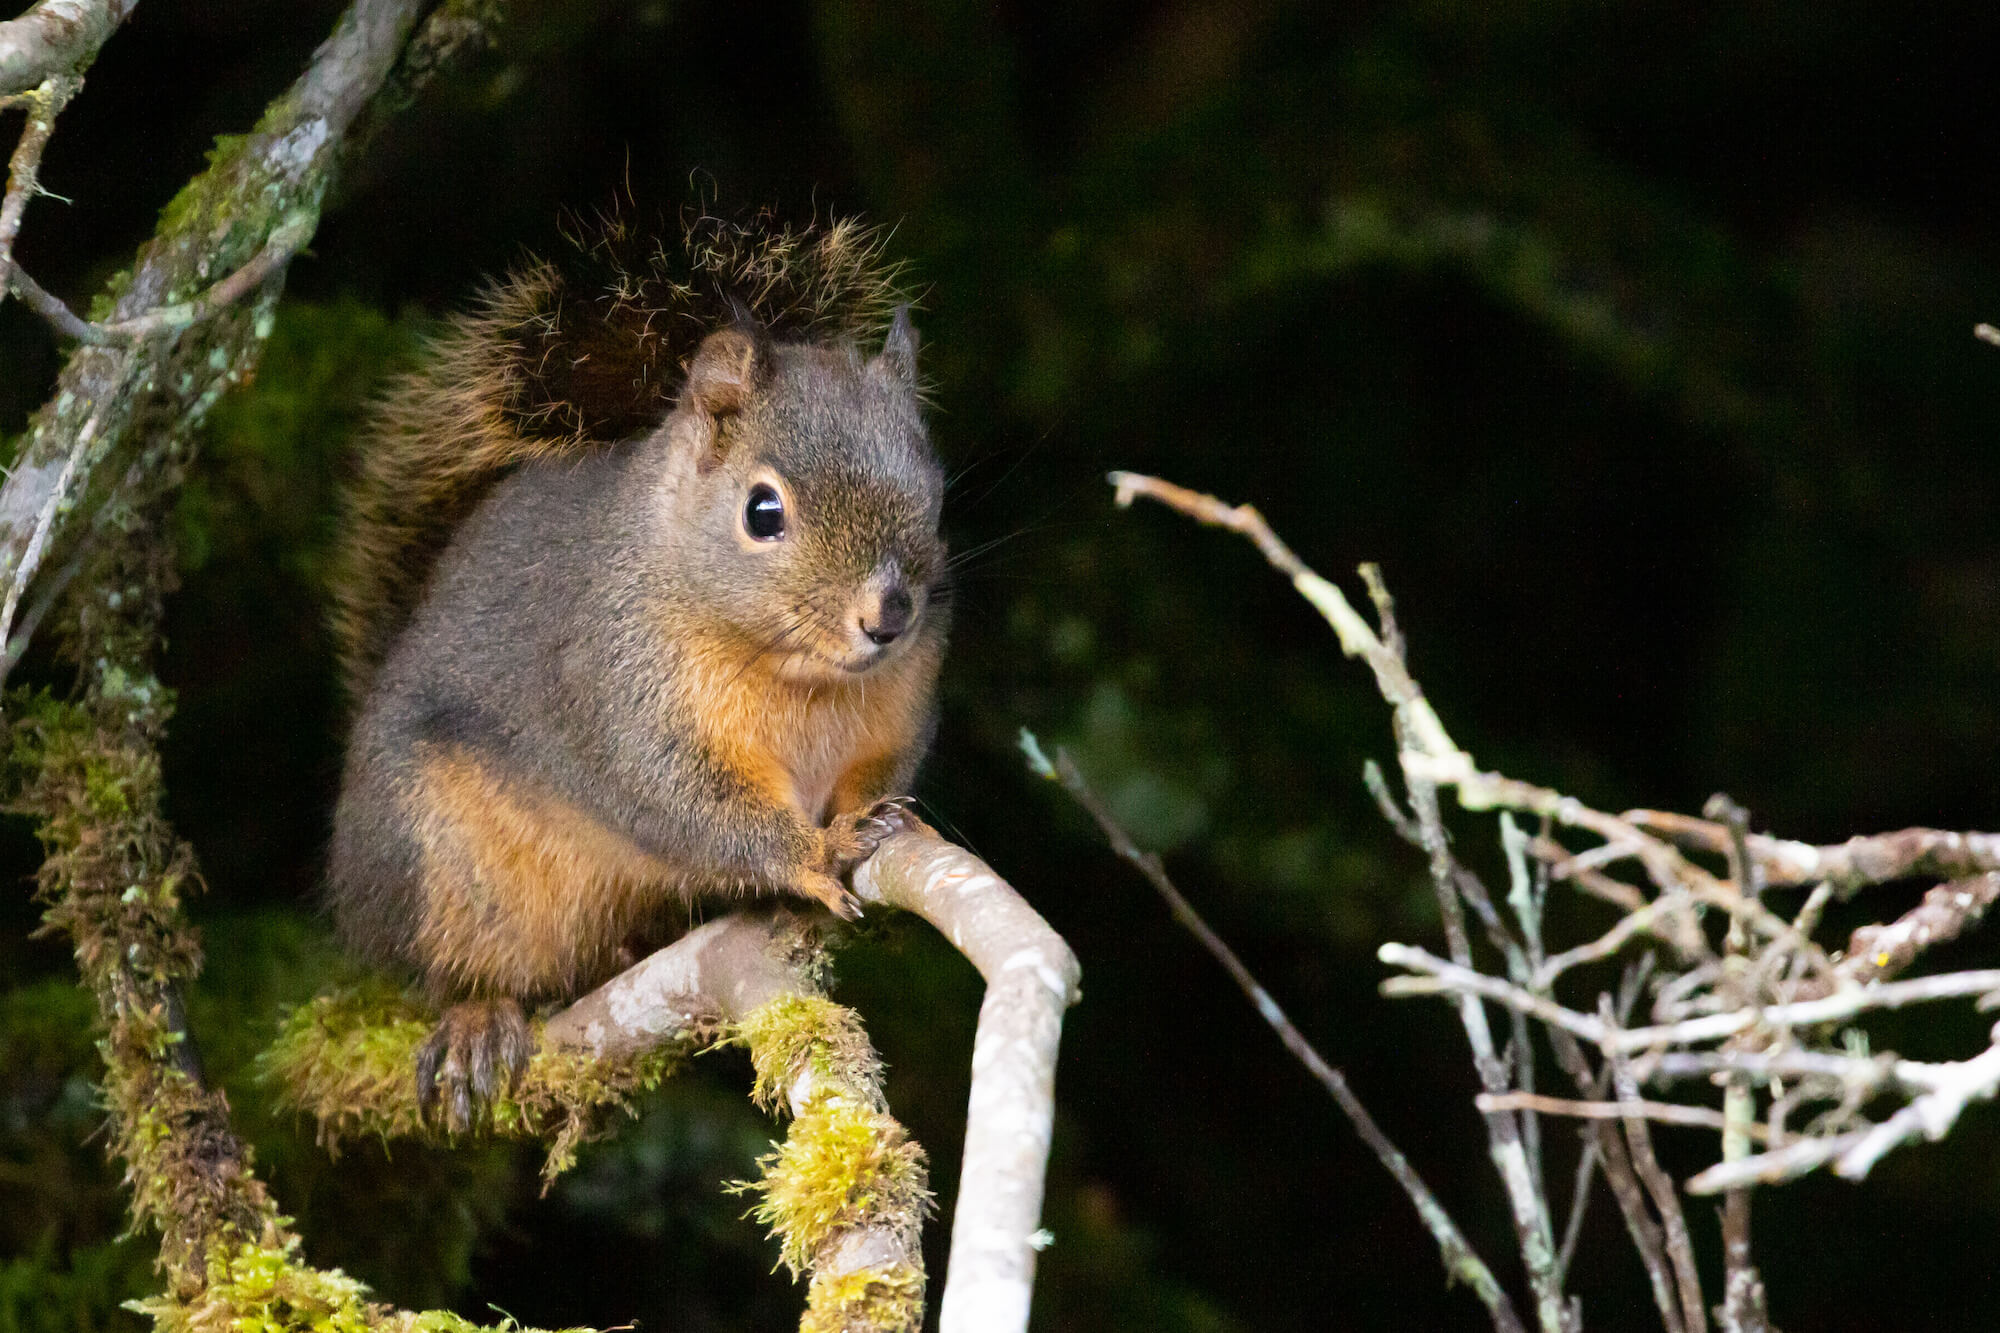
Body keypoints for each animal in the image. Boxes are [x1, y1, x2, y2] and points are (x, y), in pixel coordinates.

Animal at [325, 209, 947, 1130]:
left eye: (935, 496)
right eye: (763, 511)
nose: (889, 617)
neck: (803, 677)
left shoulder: (901, 707)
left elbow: (884, 773)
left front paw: (880, 818)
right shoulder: (621, 696)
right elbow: (691, 806)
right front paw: (817, 847)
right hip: (434, 860)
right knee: (450, 965)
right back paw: (476, 1017)